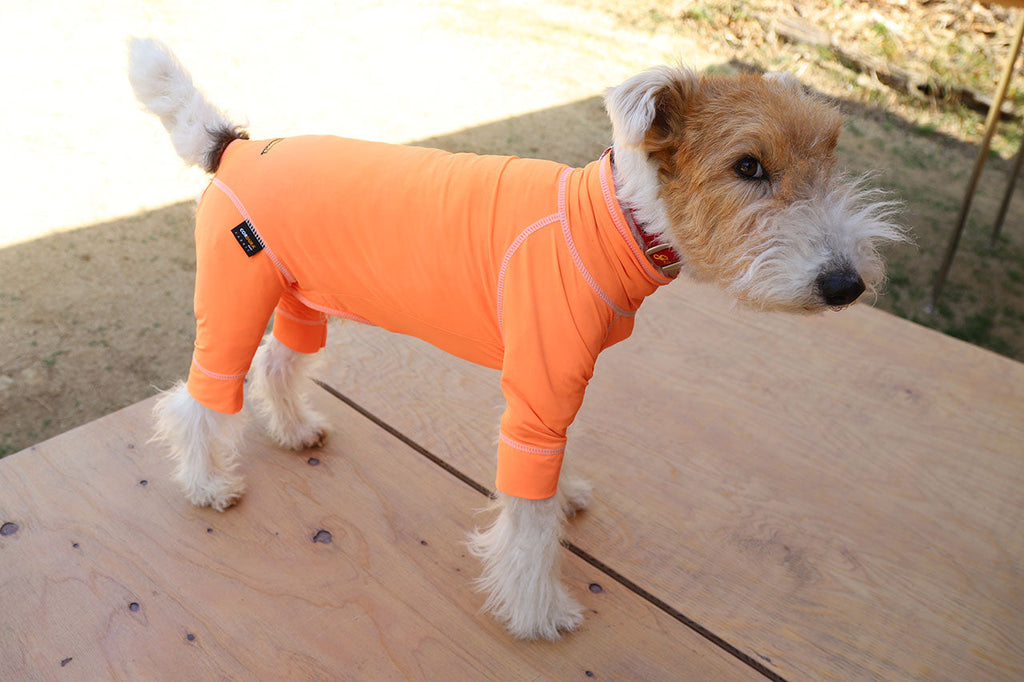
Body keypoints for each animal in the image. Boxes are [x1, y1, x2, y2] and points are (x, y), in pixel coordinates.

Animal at [128, 37, 903, 640]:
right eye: (748, 166)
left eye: (830, 152)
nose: (846, 283)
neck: (614, 219)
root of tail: (231, 146)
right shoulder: (536, 397)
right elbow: (528, 525)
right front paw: (538, 615)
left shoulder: (558, 389)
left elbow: (550, 478)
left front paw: (567, 498)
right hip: (234, 301)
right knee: (198, 398)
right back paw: (207, 485)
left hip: (303, 303)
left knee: (276, 366)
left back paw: (293, 431)